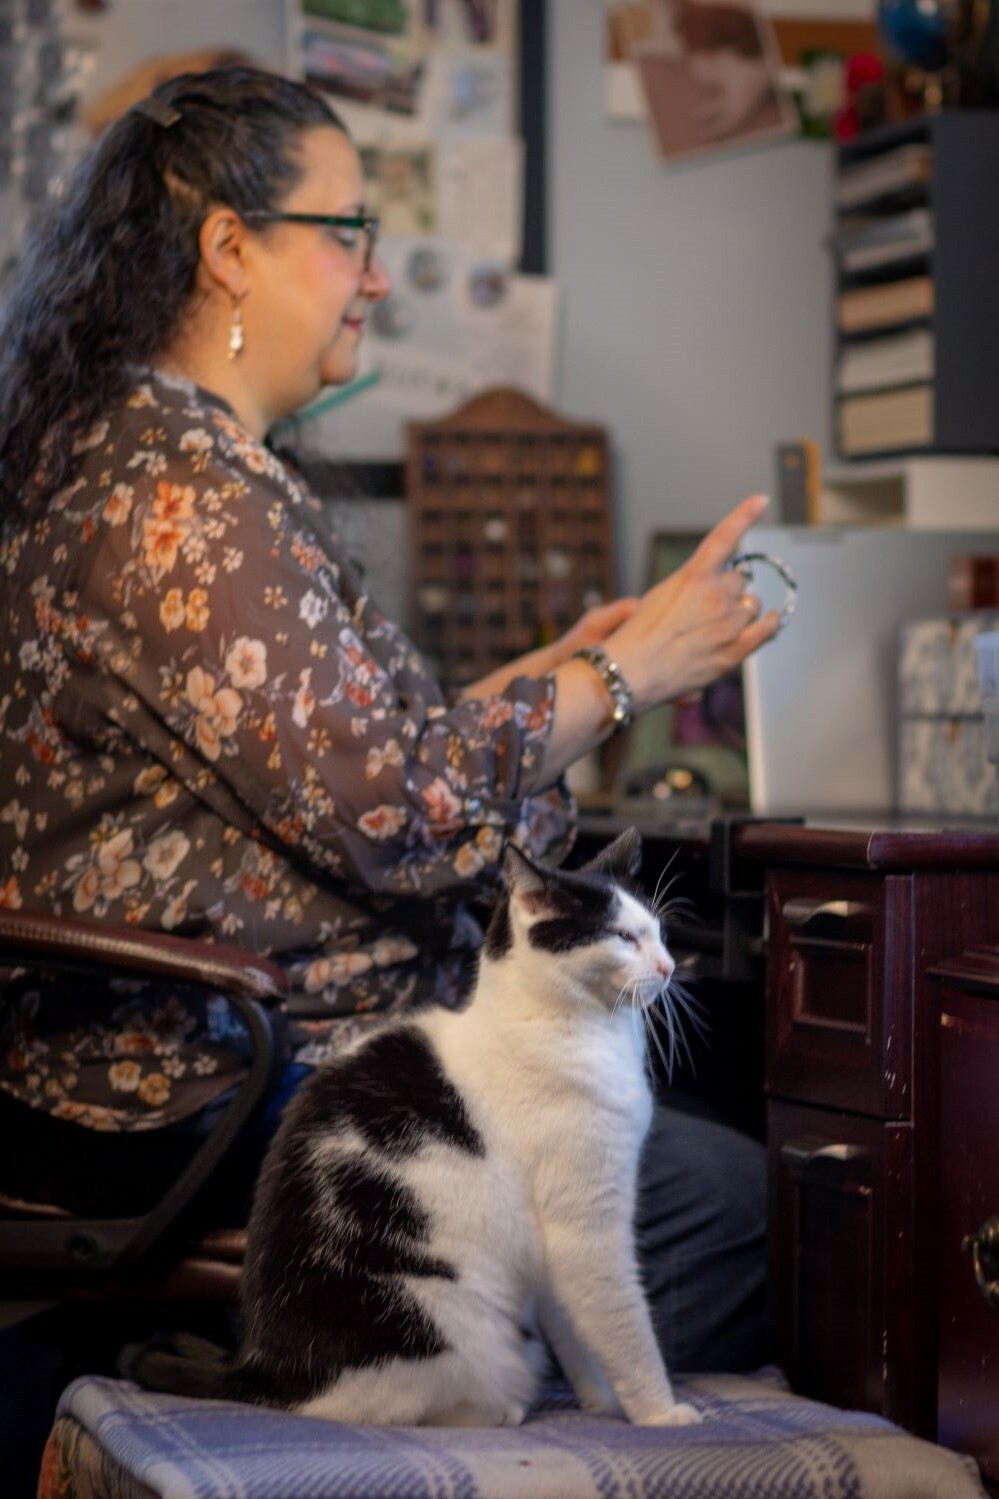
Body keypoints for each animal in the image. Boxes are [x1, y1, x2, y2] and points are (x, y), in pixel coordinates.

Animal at [134, 833, 699, 1427]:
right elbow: (623, 1328)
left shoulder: (555, 1255)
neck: (564, 1027)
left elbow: (576, 1332)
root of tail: (260, 1367)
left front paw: (600, 1401)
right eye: (622, 937)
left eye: (658, 932)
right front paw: (659, 1414)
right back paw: (500, 1411)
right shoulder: (586, 1228)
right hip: (452, 1328)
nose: (670, 966)